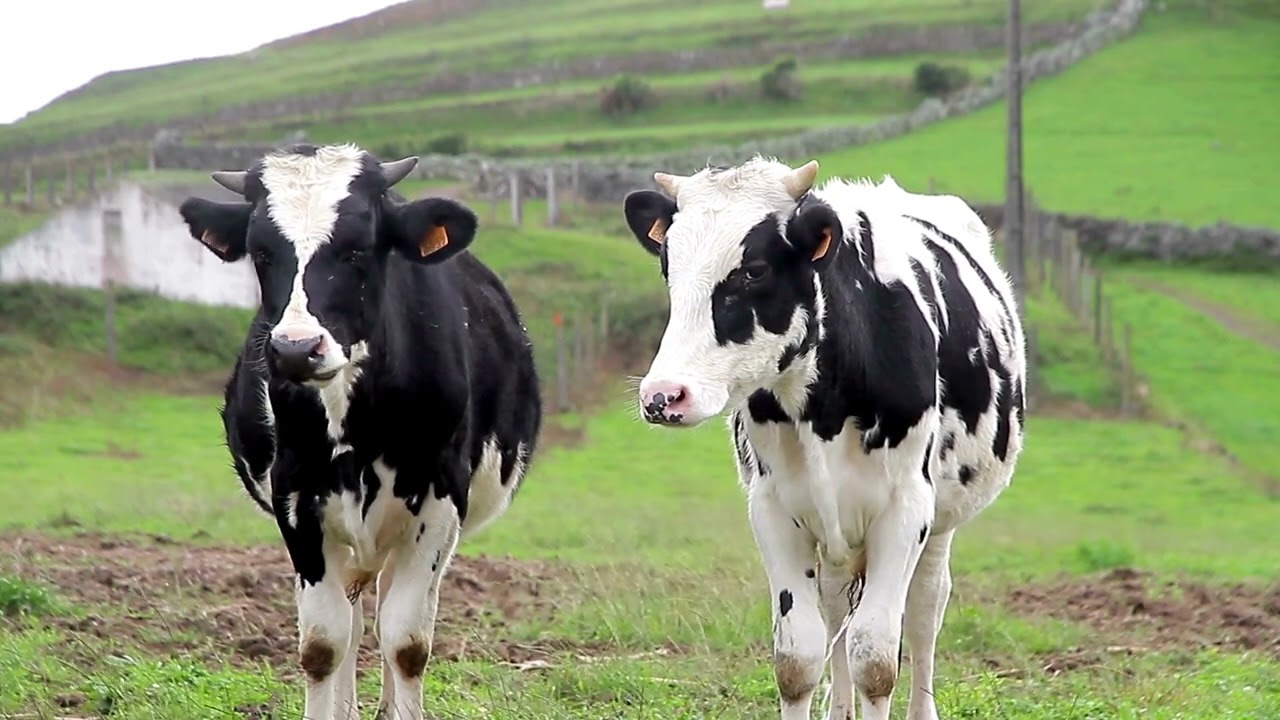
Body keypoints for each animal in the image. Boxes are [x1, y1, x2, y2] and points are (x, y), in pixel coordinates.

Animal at [176, 143, 542, 720]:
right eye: (261, 253)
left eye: (358, 250)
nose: (296, 350)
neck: (356, 422)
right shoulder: (297, 500)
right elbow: (324, 643)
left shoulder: (439, 500)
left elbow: (407, 642)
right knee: (350, 613)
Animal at [622, 156, 1026, 720]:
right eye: (668, 267)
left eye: (755, 269)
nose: (663, 395)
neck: (825, 410)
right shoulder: (773, 508)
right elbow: (798, 659)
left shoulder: (906, 510)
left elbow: (875, 659)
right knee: (836, 607)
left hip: (941, 519)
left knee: (926, 609)